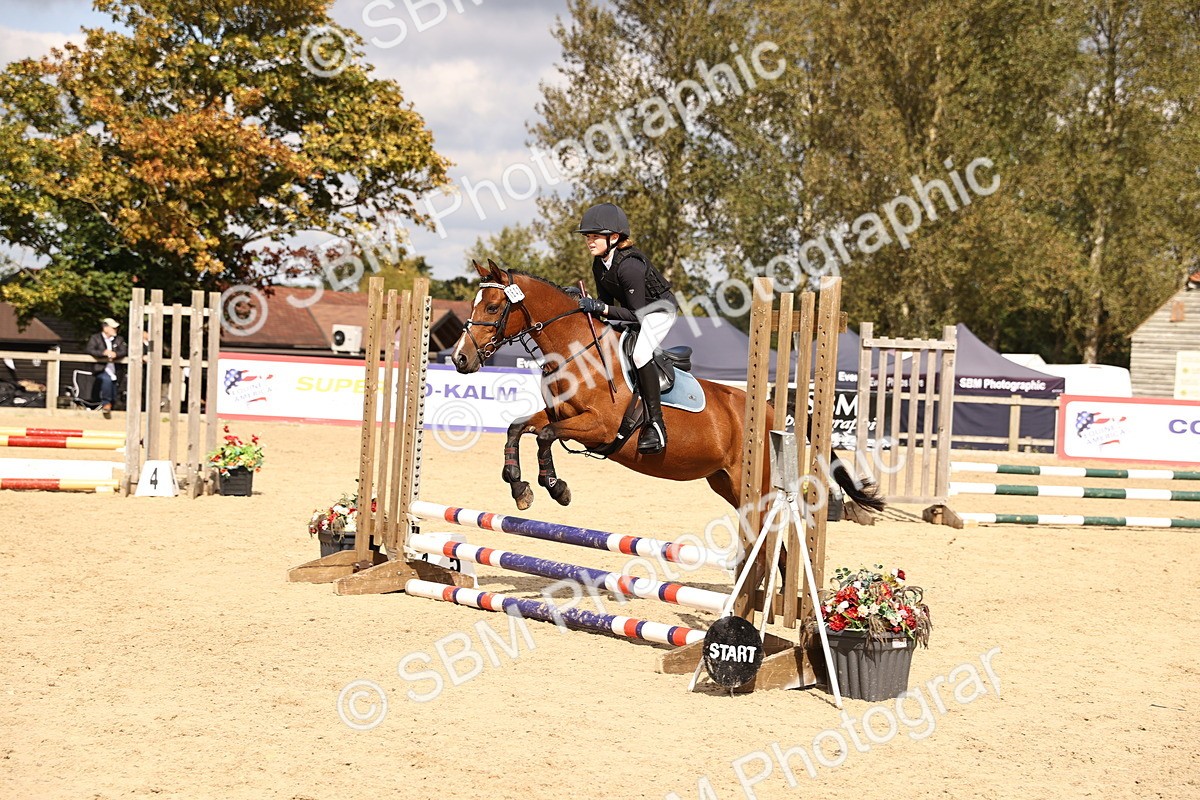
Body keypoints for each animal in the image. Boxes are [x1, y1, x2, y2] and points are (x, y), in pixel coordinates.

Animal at [449, 260, 884, 520]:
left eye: (492, 308)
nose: (459, 358)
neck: (576, 352)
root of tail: (774, 409)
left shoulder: (599, 427)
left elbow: (543, 436)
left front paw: (556, 488)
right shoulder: (562, 414)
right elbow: (518, 428)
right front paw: (519, 485)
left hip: (754, 484)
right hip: (726, 482)